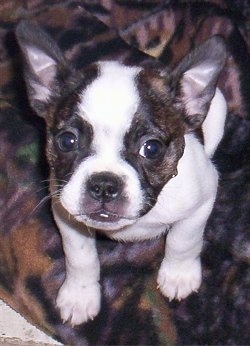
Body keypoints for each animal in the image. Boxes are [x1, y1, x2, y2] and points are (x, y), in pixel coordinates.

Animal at [15, 20, 227, 326]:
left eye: (151, 148)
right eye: (67, 141)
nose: (104, 184)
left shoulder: (202, 200)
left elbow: (184, 240)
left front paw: (178, 275)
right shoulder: (66, 212)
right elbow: (80, 256)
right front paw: (80, 295)